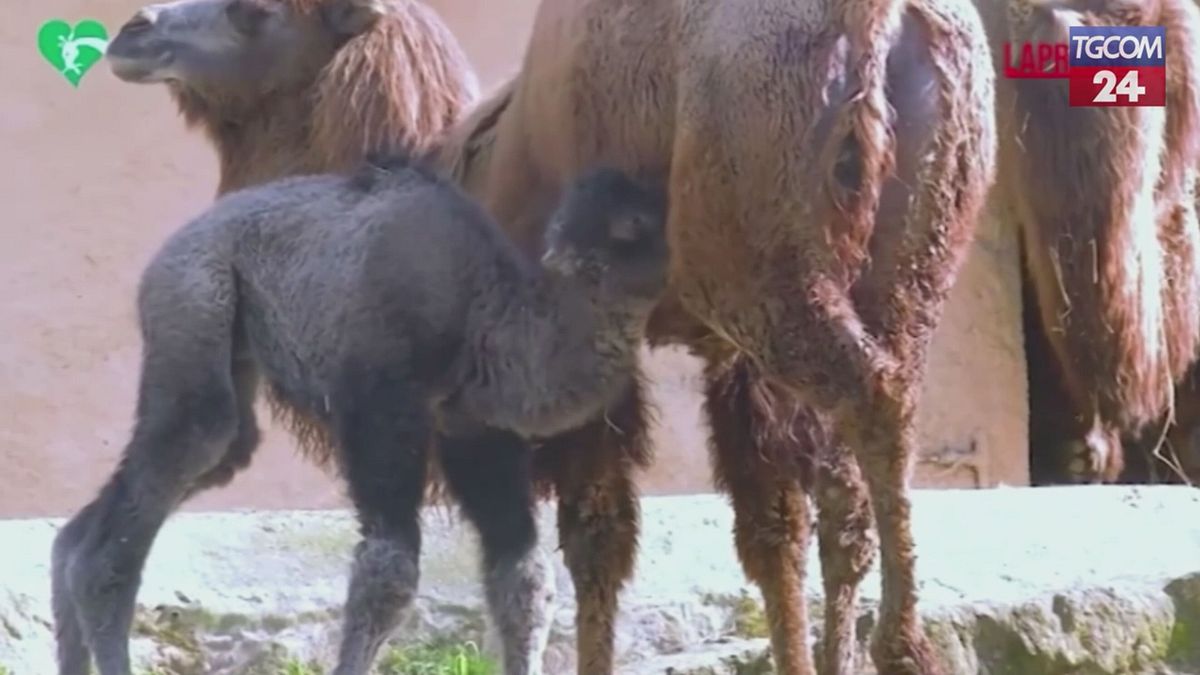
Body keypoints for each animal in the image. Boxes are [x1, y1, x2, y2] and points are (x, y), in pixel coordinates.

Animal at [49, 154, 667, 672]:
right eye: (638, 223)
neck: (484, 318)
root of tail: (164, 253)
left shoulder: (473, 427)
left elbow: (524, 577)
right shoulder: (380, 406)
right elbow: (389, 572)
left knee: (114, 516)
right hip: (194, 298)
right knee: (151, 495)